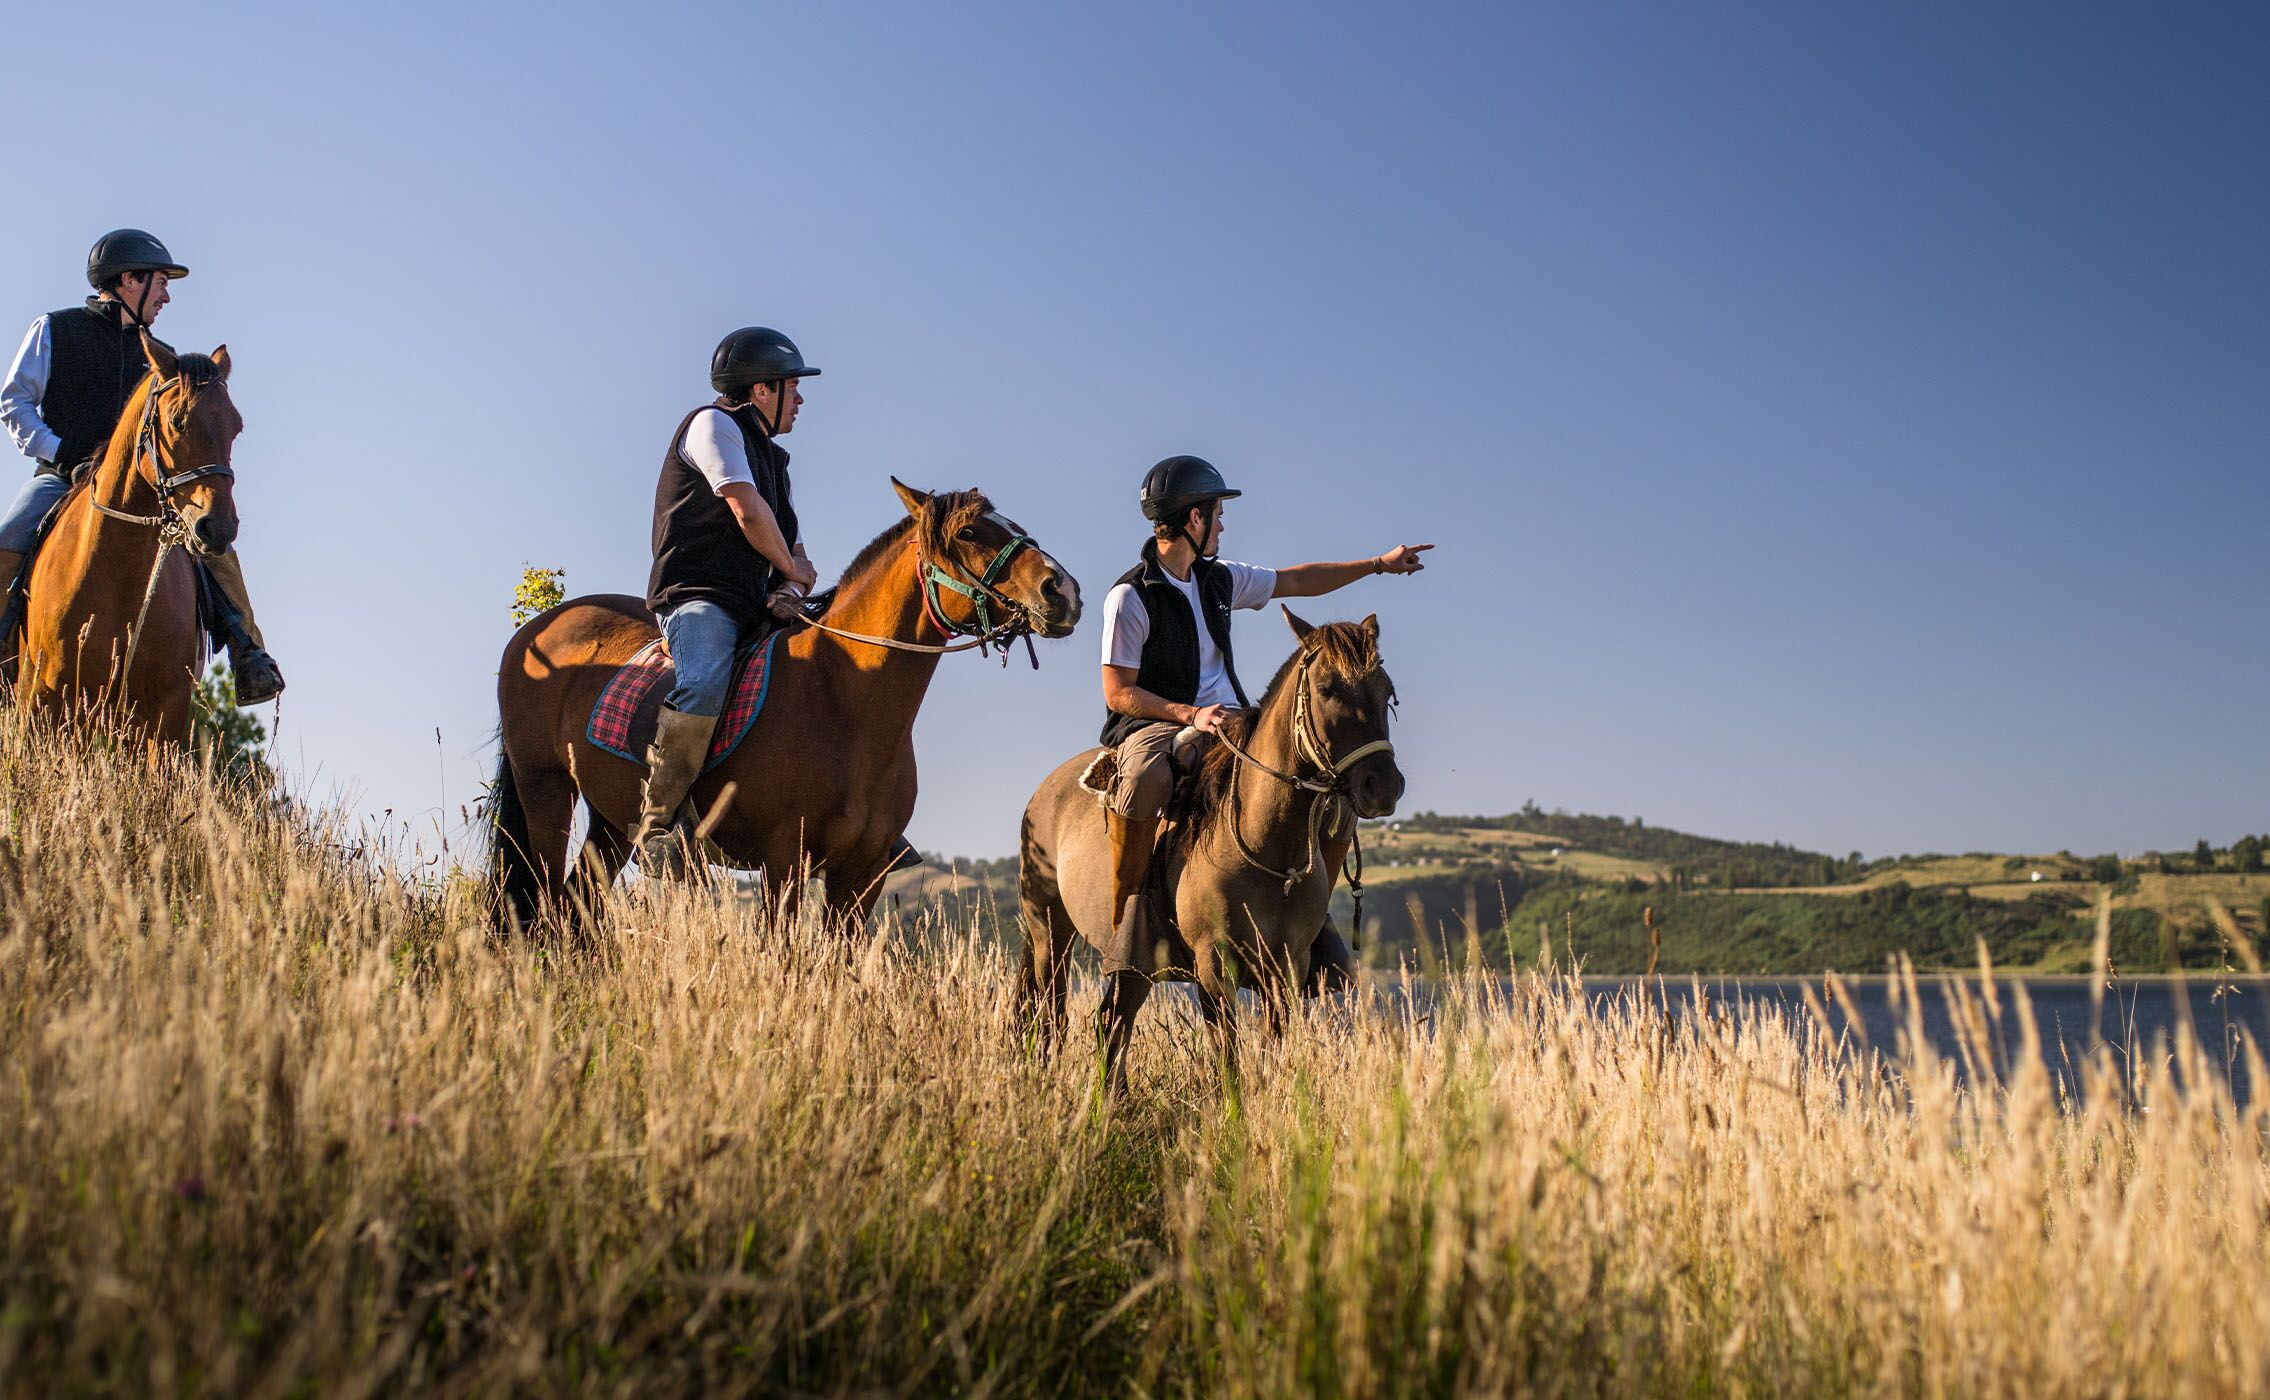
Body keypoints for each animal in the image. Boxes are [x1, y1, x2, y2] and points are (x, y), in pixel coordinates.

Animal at [489, 479, 1081, 930]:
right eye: (967, 533)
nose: (1064, 591)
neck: (844, 698)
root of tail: (538, 631)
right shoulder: (784, 862)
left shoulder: (861, 875)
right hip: (546, 793)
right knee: (544, 902)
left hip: (610, 822)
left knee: (576, 906)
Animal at [1019, 609, 1405, 1091]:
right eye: (1326, 689)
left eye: (1386, 691)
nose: (1384, 787)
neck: (1267, 847)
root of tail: (1044, 790)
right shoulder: (1214, 968)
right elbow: (1229, 1062)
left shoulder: (1287, 967)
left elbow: (1274, 1052)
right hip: (1049, 934)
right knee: (1050, 1016)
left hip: (1131, 965)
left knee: (1112, 1020)